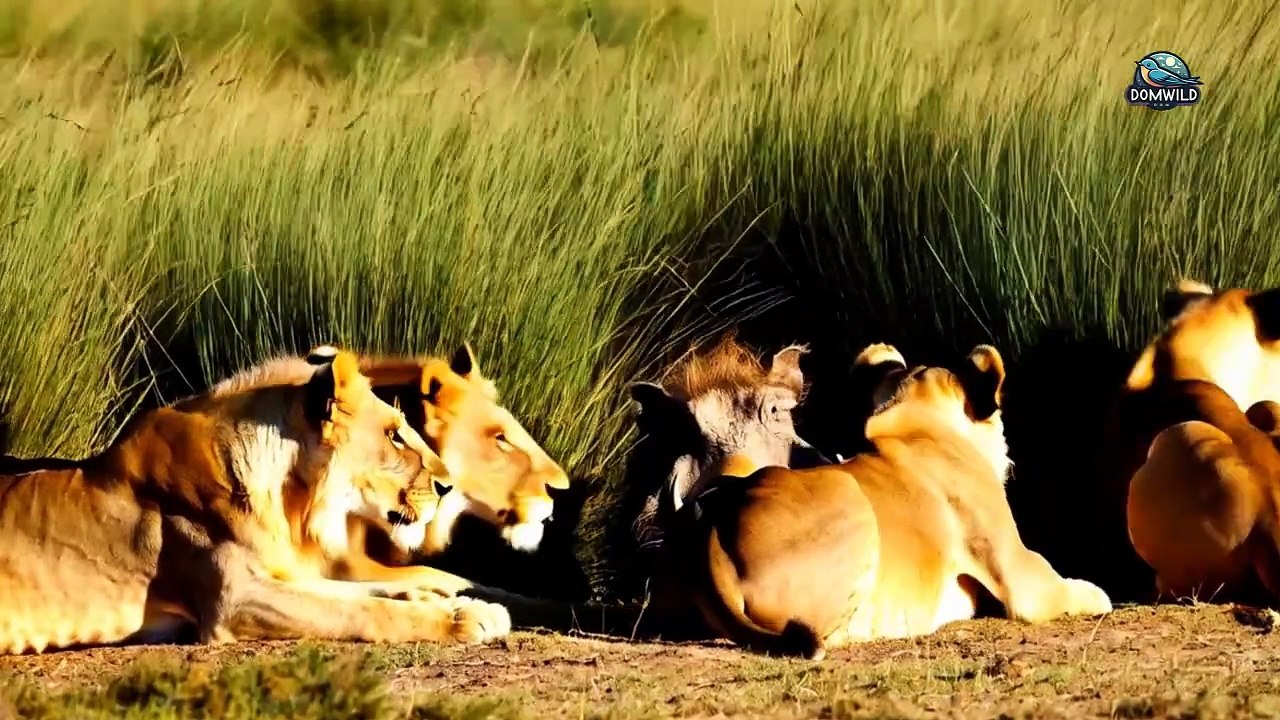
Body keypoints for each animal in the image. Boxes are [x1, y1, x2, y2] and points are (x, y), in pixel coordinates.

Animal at [0, 349, 511, 654]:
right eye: (394, 435)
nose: (448, 485)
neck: (286, 498)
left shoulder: (280, 573)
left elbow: (360, 591)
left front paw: (444, 598)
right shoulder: (235, 599)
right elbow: (361, 609)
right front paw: (465, 618)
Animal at [664, 343, 1111, 660]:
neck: (917, 421)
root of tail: (710, 538)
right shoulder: (1021, 578)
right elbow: (1080, 592)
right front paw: (1095, 593)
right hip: (848, 494)